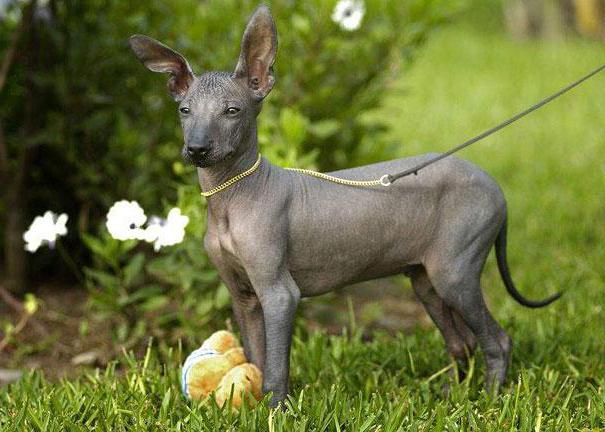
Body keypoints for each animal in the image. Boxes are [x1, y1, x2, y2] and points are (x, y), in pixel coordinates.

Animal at [130, 5, 560, 406]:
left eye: (232, 111)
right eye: (184, 111)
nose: (197, 149)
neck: (233, 195)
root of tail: (492, 183)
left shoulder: (280, 294)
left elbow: (276, 367)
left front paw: (275, 410)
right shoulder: (245, 298)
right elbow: (256, 356)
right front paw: (249, 403)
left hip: (455, 273)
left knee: (497, 341)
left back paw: (490, 398)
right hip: (426, 281)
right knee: (462, 343)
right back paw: (453, 397)